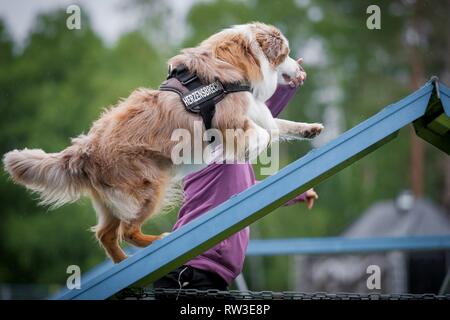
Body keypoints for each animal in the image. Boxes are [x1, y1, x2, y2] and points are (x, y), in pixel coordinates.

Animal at [1, 21, 322, 262]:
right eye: (287, 53)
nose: (301, 69)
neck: (241, 57)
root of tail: (84, 150)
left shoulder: (254, 109)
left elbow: (279, 125)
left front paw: (310, 129)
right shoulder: (230, 121)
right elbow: (263, 133)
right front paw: (245, 151)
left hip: (112, 202)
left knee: (106, 234)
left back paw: (124, 266)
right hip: (151, 186)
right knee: (127, 231)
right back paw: (157, 241)